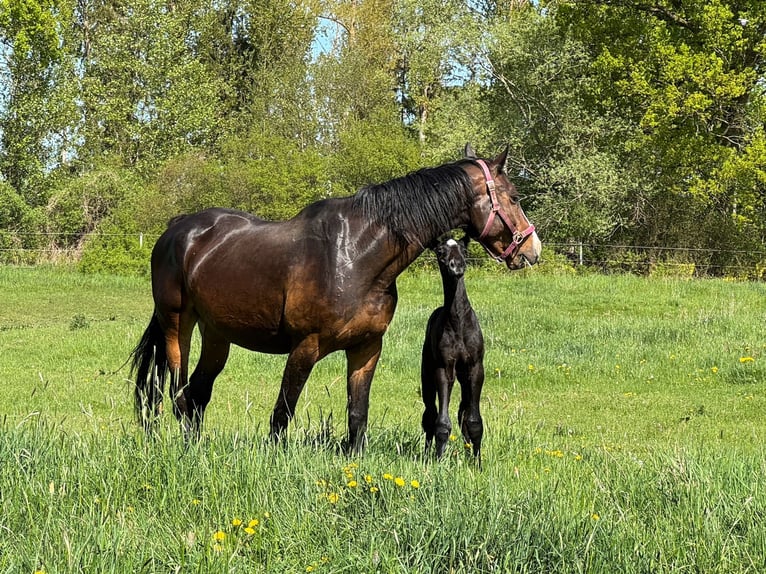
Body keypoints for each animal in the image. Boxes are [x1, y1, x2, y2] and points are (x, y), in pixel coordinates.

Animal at [421, 235, 484, 463]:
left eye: (464, 251)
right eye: (440, 252)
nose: (456, 266)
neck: (458, 322)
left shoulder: (475, 368)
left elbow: (472, 421)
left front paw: (477, 463)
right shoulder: (443, 369)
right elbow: (441, 423)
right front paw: (438, 462)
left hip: (464, 378)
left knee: (462, 414)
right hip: (427, 374)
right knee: (429, 415)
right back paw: (426, 455)